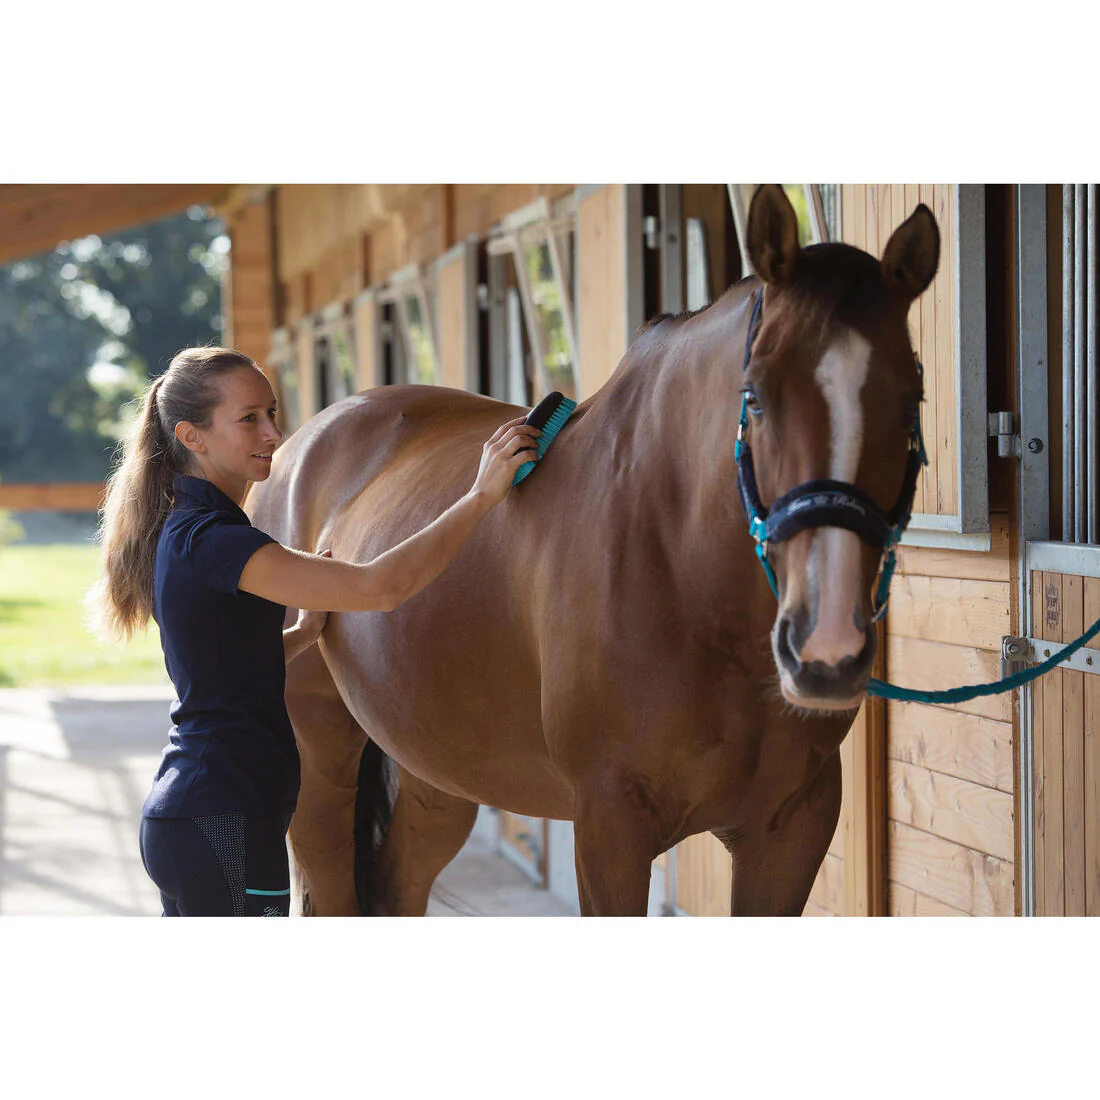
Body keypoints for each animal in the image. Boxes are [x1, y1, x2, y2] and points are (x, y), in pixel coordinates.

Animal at [246, 185, 940, 916]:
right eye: (755, 397)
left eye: (910, 402)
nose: (825, 645)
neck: (682, 565)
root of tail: (300, 445)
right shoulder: (609, 825)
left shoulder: (790, 827)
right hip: (319, 760)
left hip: (434, 772)